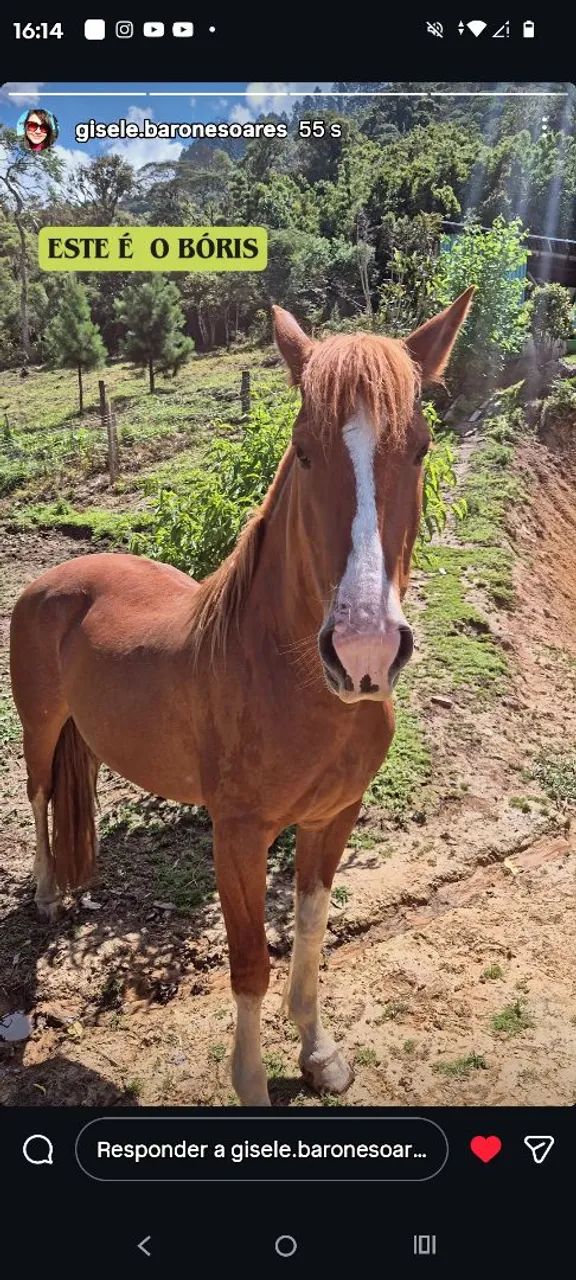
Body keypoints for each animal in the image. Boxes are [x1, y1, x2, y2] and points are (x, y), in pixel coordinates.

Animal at [9, 290, 473, 1106]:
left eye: (419, 448)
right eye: (304, 447)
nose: (364, 651)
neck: (287, 682)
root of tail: (52, 578)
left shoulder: (333, 816)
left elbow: (312, 932)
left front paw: (318, 1052)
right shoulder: (237, 835)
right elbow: (250, 962)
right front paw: (252, 1080)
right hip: (38, 726)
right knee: (36, 799)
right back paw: (45, 895)